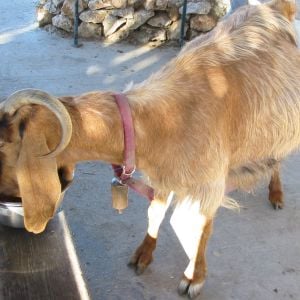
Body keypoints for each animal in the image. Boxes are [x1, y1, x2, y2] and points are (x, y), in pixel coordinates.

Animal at [0, 0, 298, 296]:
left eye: (3, 146)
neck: (157, 122)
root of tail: (275, 8)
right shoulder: (163, 177)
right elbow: (154, 214)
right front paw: (143, 254)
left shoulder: (208, 186)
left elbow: (200, 231)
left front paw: (194, 278)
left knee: (279, 157)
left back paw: (276, 192)